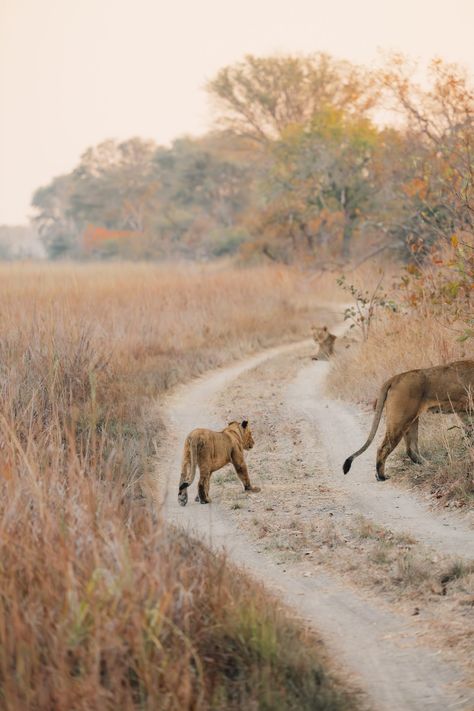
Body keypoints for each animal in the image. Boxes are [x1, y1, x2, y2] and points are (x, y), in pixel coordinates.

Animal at [342, 358, 474, 482]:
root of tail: (395, 378)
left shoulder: (465, 411)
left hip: (411, 421)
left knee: (411, 449)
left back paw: (428, 465)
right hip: (400, 420)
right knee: (383, 448)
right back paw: (382, 476)